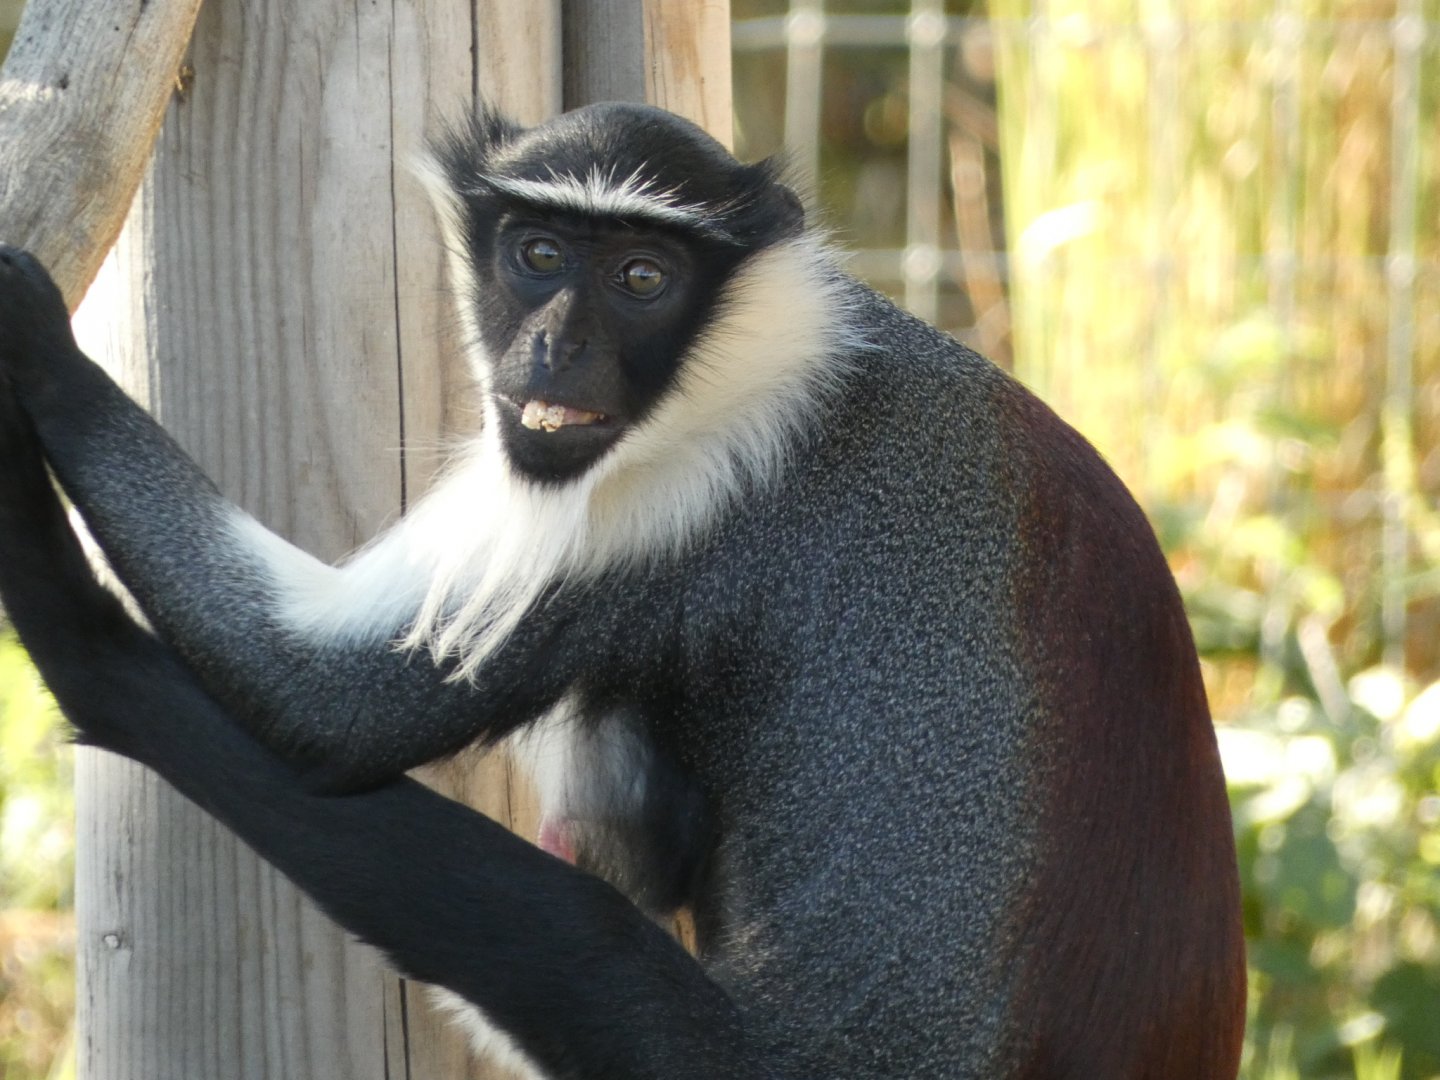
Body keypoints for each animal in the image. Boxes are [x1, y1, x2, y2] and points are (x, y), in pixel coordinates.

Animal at [0, 101, 1246, 1078]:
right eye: (540, 255)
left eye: (644, 278)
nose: (556, 348)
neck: (751, 351)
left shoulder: (677, 492)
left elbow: (324, 708)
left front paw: (39, 357)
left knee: (549, 937)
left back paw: (78, 634)